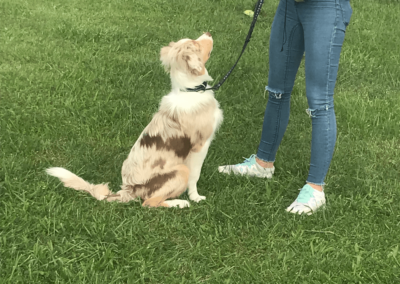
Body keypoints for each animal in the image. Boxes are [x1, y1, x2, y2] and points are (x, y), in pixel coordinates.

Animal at [46, 32, 223, 209]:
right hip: (180, 170)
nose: (208, 33)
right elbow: (195, 176)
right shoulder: (200, 146)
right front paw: (196, 197)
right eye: (196, 44)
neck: (190, 90)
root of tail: (128, 189)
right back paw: (179, 203)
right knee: (149, 202)